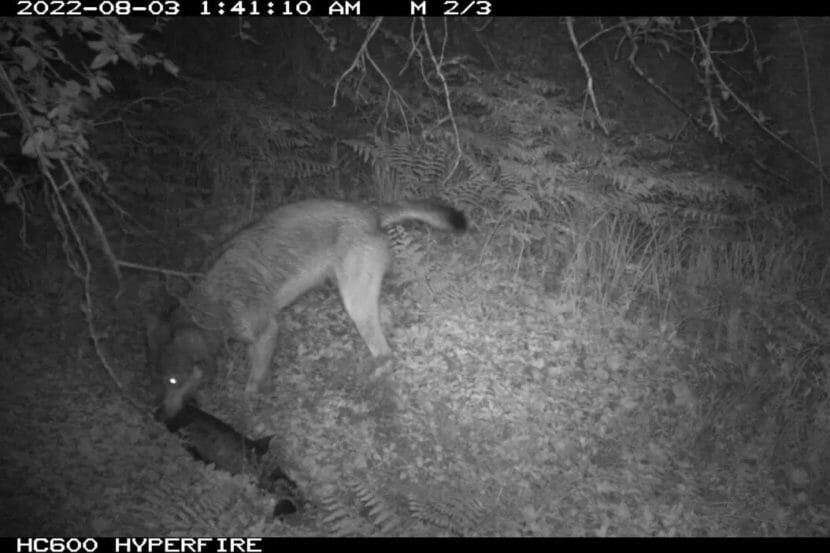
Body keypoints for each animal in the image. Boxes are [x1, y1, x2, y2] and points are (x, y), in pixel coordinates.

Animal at [147, 199, 467, 419]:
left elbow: (253, 380)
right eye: (161, 381)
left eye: (174, 380)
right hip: (357, 296)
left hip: (354, 303)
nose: (159, 416)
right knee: (385, 325)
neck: (211, 308)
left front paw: (250, 404)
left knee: (386, 353)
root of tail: (369, 211)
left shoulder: (266, 331)